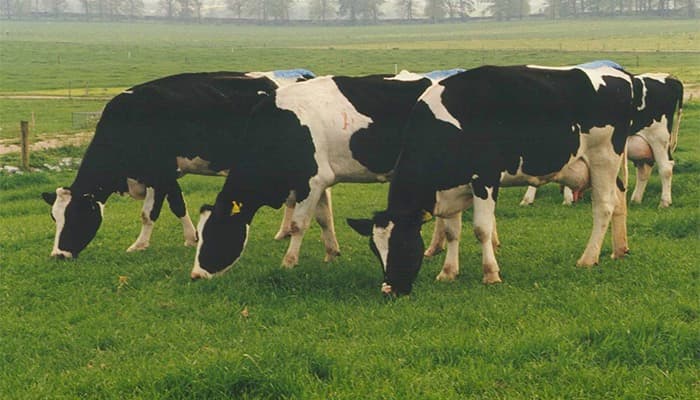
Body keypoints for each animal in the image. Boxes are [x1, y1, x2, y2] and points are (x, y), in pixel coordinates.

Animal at [41, 69, 314, 259]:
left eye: (75, 215)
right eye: (55, 218)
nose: (58, 255)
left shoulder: (159, 173)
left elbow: (149, 213)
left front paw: (139, 245)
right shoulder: (164, 174)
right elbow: (177, 205)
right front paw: (191, 238)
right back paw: (283, 232)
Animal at [189, 73, 435, 279]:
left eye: (215, 234)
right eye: (199, 236)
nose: (196, 275)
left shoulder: (312, 181)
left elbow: (298, 225)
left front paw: (288, 263)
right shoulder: (319, 182)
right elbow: (324, 218)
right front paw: (331, 254)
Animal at [348, 64, 636, 295]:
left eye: (403, 244)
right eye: (375, 250)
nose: (390, 290)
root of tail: (618, 74)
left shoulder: (484, 179)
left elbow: (481, 229)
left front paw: (491, 274)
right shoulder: (450, 189)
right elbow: (452, 233)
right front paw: (448, 272)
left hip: (603, 157)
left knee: (604, 206)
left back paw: (588, 258)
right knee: (619, 198)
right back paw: (619, 250)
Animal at [519, 73, 683, 208]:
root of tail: (668, 78)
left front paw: (566, 198)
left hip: (659, 138)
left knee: (665, 167)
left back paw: (664, 202)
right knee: (644, 170)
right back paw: (635, 199)